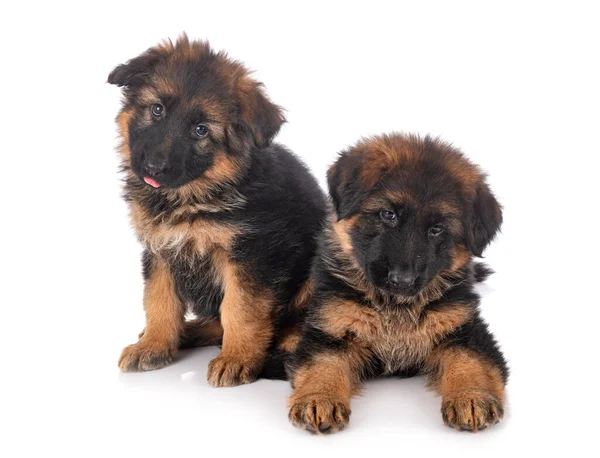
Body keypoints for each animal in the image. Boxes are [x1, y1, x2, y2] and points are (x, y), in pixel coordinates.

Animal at [105, 36, 326, 386]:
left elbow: (241, 308)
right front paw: (154, 345)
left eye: (200, 130)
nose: (153, 167)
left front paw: (237, 358)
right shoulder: (160, 249)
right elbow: (158, 300)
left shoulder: (252, 256)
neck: (192, 198)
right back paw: (188, 332)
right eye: (157, 109)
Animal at [286, 133, 506, 432]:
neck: (394, 307)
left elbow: (470, 361)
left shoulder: (465, 329)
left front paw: (471, 397)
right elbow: (323, 364)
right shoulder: (330, 328)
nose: (402, 280)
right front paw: (319, 397)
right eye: (388, 215)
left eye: (436, 229)